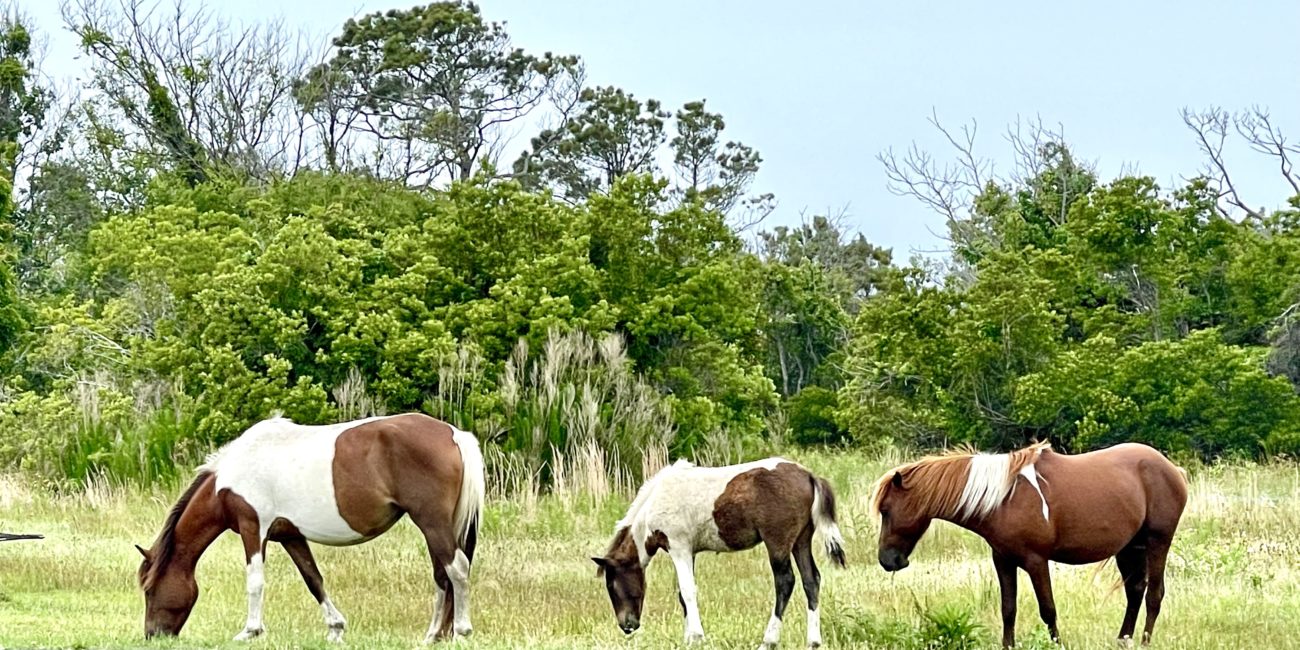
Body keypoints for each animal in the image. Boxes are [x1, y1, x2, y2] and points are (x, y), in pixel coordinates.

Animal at [134, 413, 486, 642]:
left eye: (149, 590)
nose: (153, 635)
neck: (229, 480)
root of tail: (455, 434)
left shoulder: (253, 528)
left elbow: (255, 582)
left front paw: (250, 631)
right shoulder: (290, 536)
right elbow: (313, 579)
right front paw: (335, 628)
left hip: (431, 521)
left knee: (456, 569)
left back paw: (461, 631)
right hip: (437, 525)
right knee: (442, 575)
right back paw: (434, 635)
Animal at [595, 457, 847, 650]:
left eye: (611, 584)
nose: (627, 625)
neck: (655, 503)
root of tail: (808, 475)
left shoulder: (678, 547)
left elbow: (687, 591)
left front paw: (697, 637)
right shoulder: (689, 552)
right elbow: (682, 595)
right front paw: (688, 638)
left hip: (778, 542)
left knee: (785, 582)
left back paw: (768, 641)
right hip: (801, 540)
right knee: (811, 580)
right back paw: (813, 641)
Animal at [873, 439, 1190, 647]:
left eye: (886, 510)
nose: (888, 560)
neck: (1004, 499)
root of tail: (1173, 470)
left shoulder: (1037, 562)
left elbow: (1048, 609)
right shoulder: (1003, 560)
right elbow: (1008, 609)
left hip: (1158, 542)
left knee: (1154, 594)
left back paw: (1145, 641)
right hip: (1128, 547)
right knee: (1135, 591)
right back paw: (1123, 639)